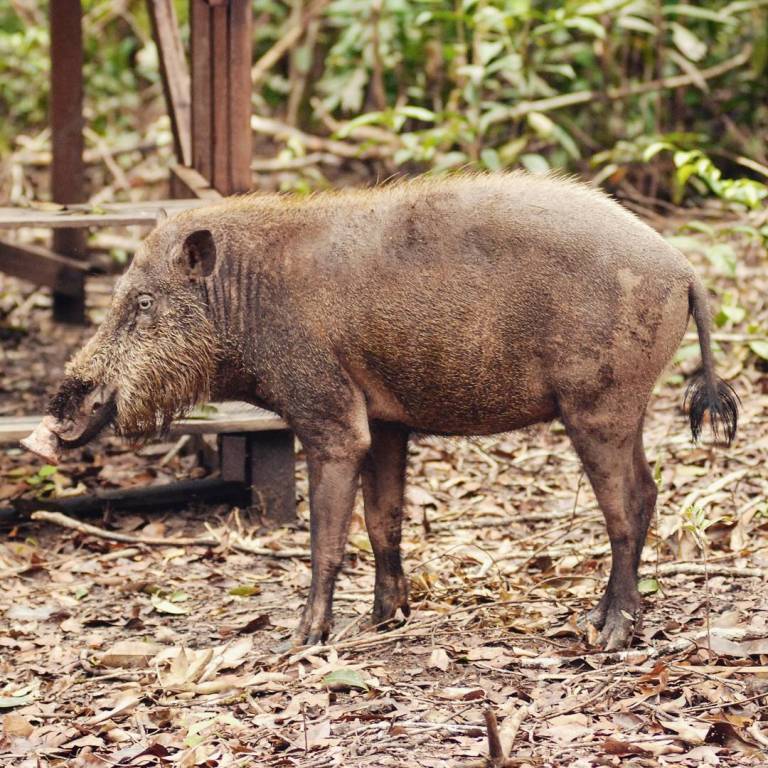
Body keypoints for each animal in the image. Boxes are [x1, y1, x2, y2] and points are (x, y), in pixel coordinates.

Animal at [22, 172, 738, 650]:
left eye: (142, 303)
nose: (45, 426)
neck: (243, 303)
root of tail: (684, 271)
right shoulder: (388, 420)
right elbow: (381, 520)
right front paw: (384, 620)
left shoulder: (330, 416)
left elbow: (325, 537)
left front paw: (298, 641)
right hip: (622, 407)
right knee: (648, 492)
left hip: (599, 404)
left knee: (629, 502)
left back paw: (609, 634)